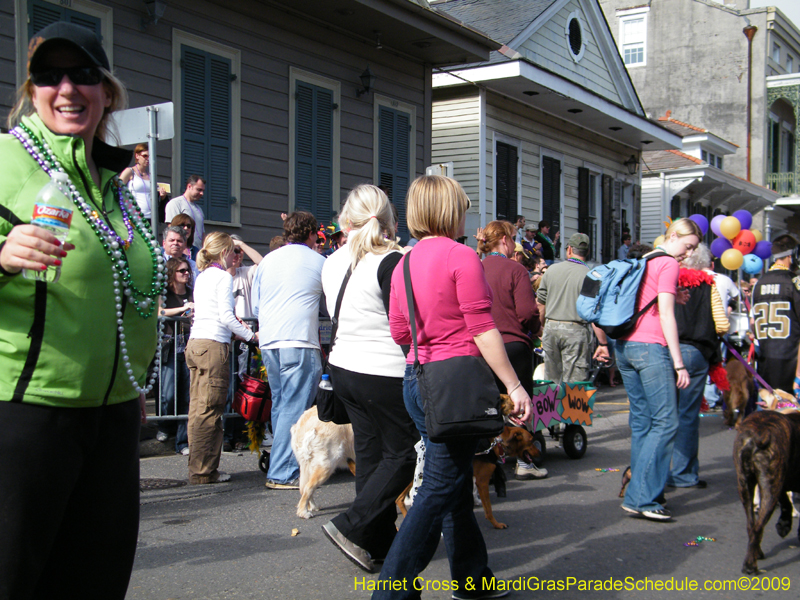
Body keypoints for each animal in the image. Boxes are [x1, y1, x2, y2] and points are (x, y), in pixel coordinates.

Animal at [736, 410, 800, 576]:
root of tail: (759, 432)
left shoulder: (781, 482)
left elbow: (786, 502)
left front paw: (784, 525)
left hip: (747, 484)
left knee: (752, 525)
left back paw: (756, 553)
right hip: (770, 488)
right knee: (758, 527)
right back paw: (750, 566)